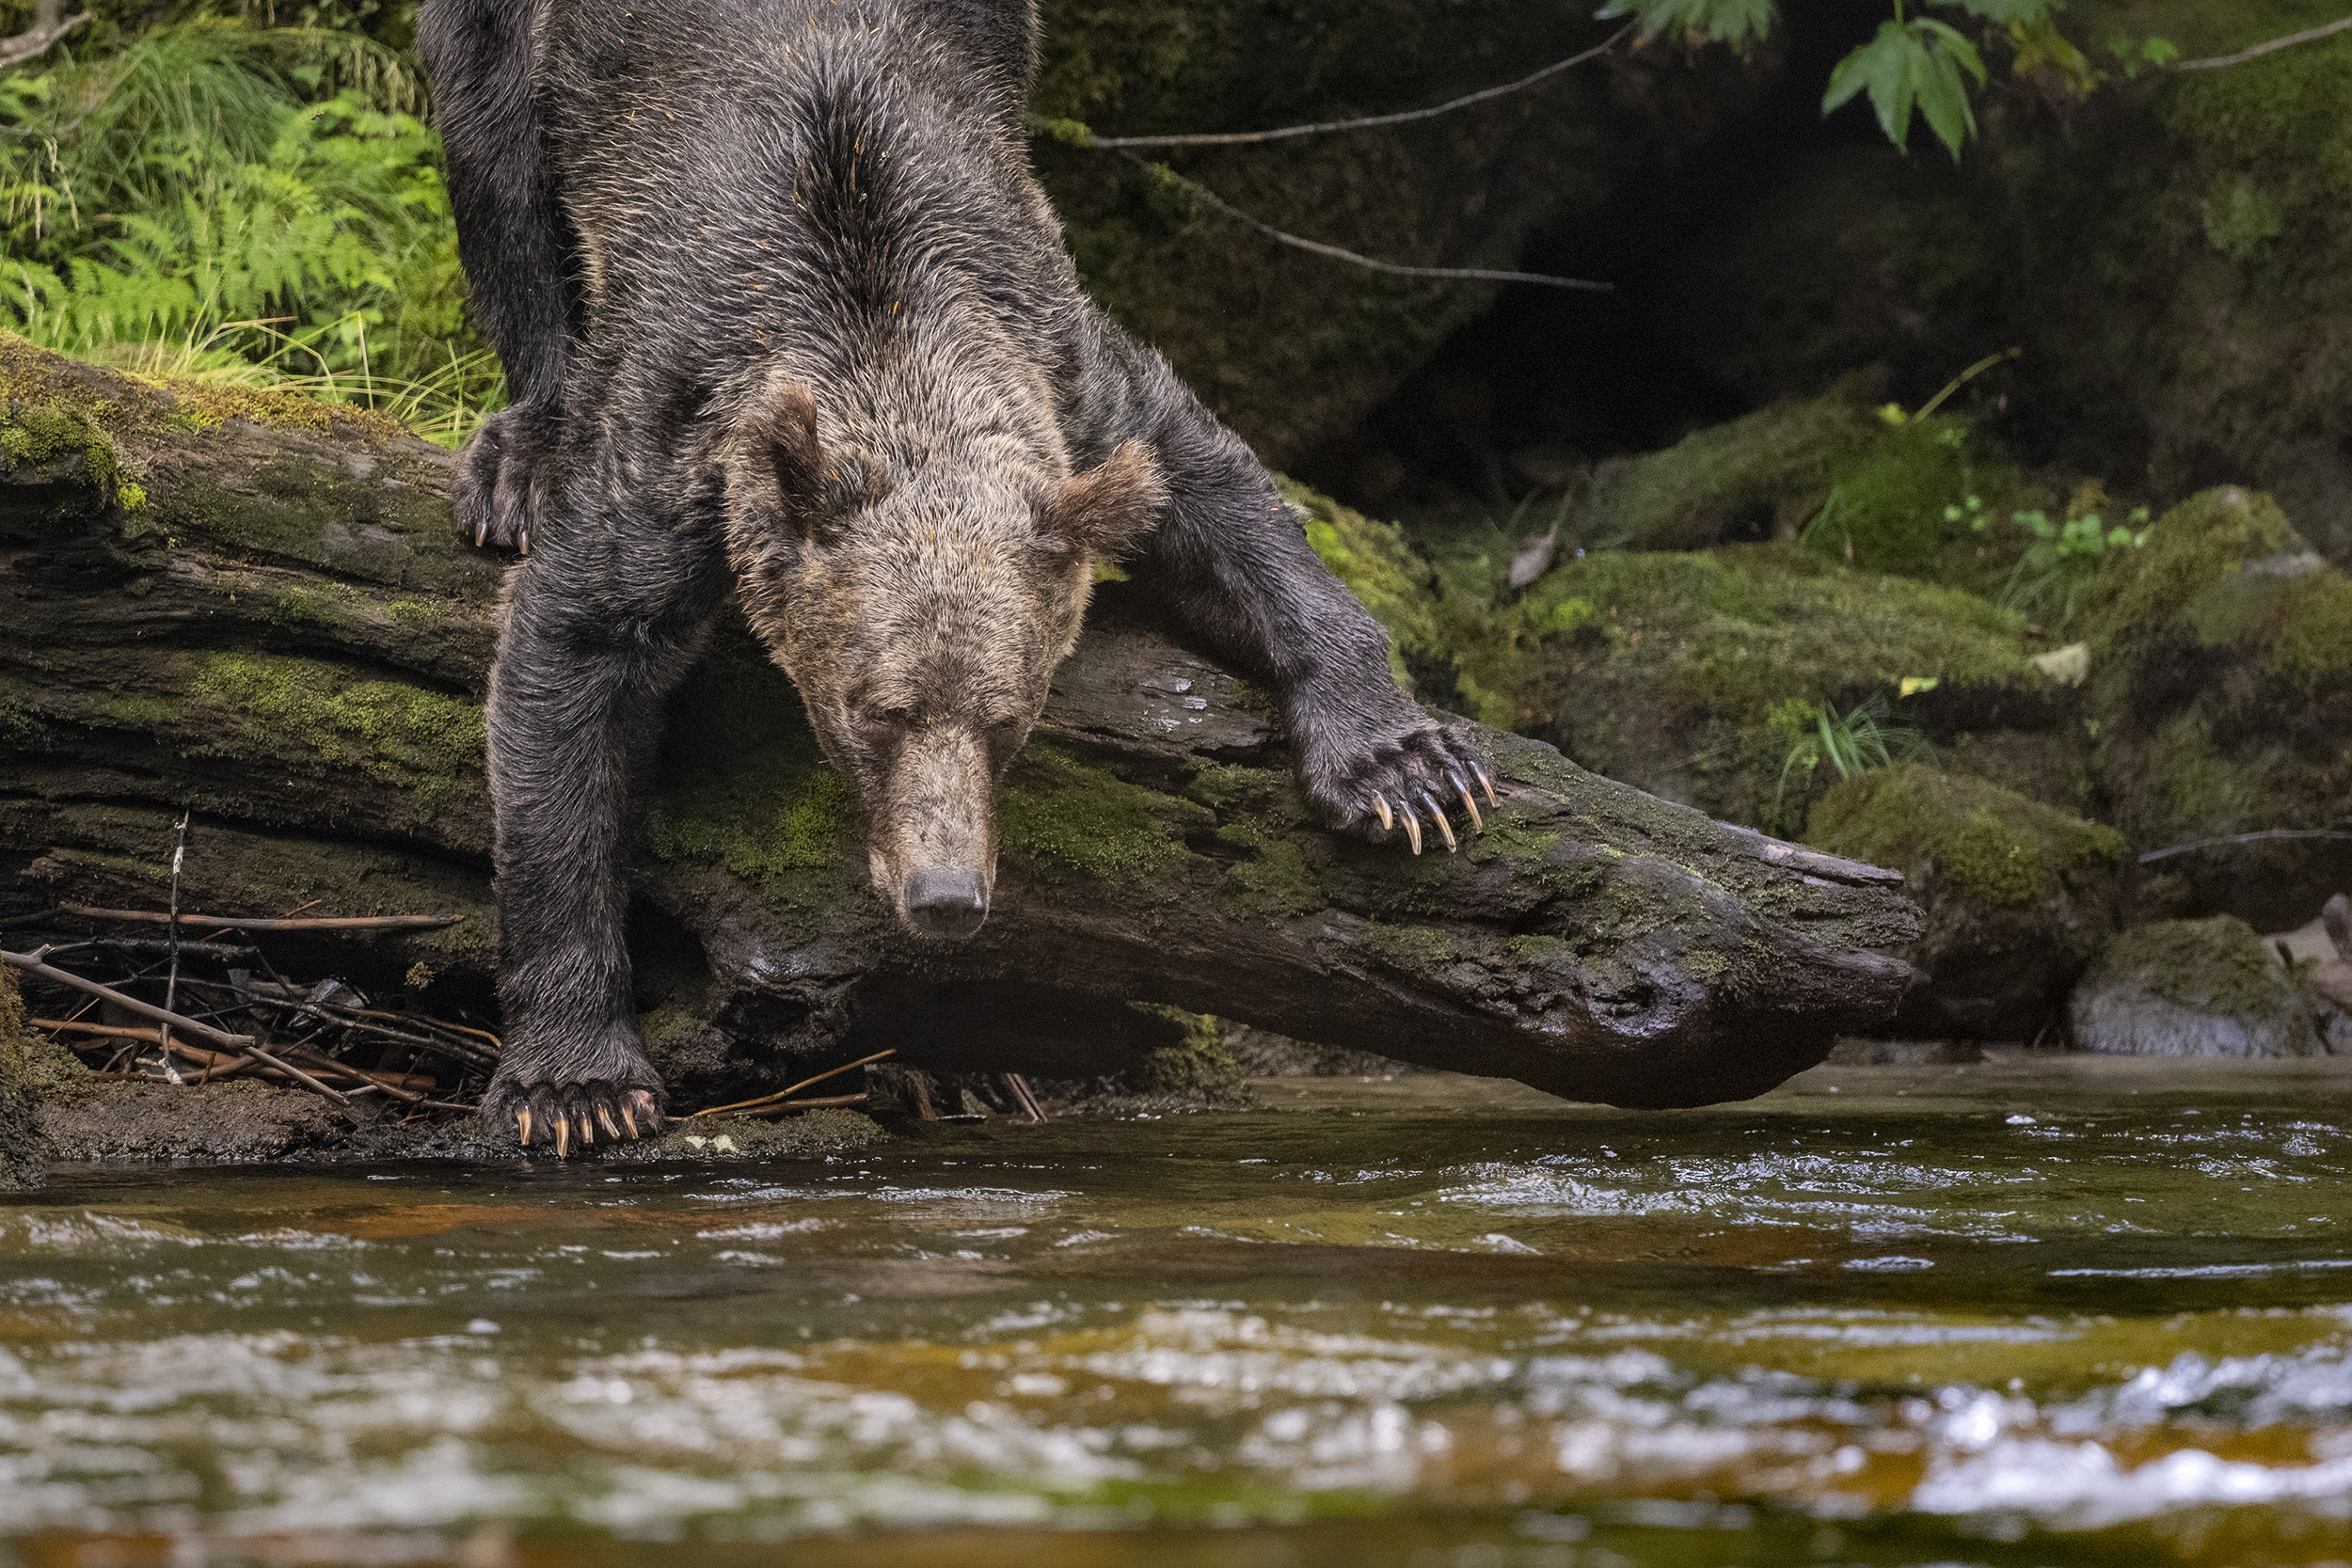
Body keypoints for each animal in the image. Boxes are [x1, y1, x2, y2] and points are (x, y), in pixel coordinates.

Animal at [416, 0, 1494, 1154]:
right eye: (872, 712)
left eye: (1008, 719)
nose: (945, 895)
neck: (882, 336)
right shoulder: (682, 430)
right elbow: (576, 660)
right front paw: (576, 1080)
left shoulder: (1062, 374)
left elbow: (1214, 490)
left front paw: (1405, 769)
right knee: (496, 157)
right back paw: (521, 455)